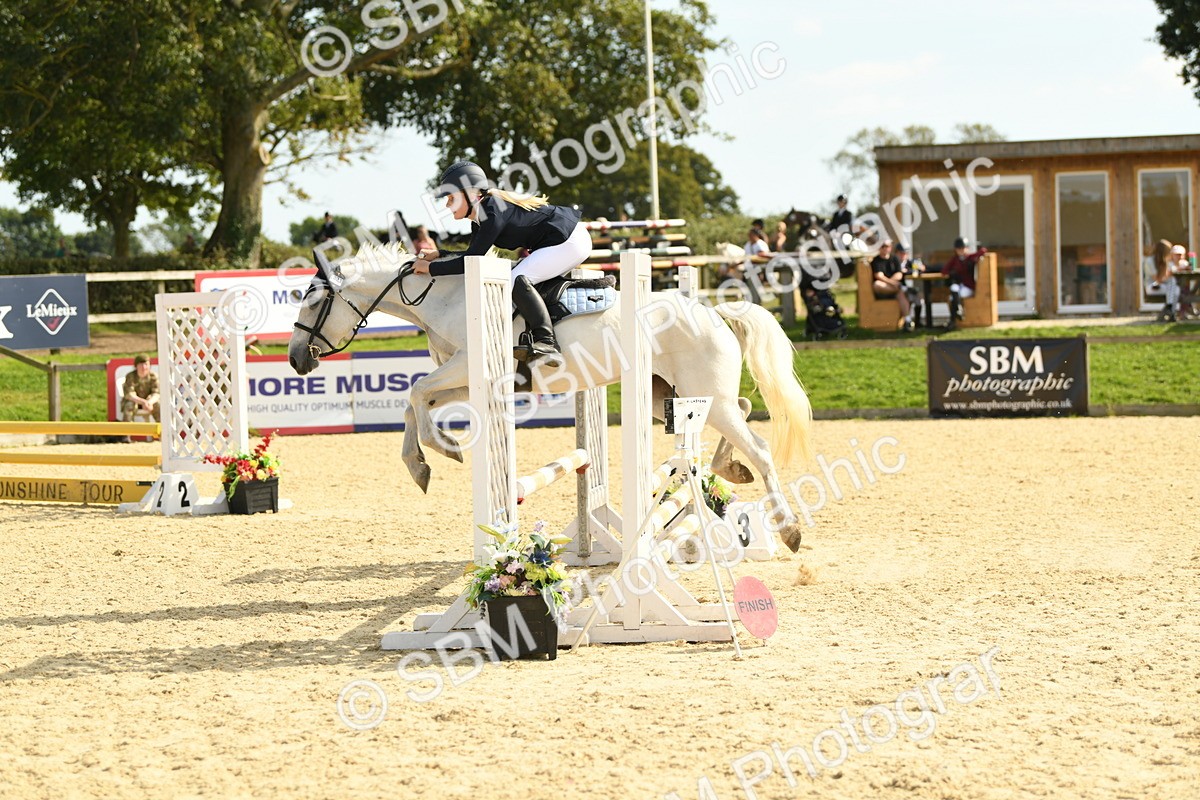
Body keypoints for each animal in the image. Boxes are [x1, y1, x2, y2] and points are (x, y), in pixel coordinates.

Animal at [287, 241, 815, 552]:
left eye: (312, 300)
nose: (296, 360)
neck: (448, 298)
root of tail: (713, 311)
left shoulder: (471, 369)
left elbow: (416, 392)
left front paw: (440, 452)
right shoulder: (464, 379)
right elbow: (414, 404)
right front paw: (425, 462)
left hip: (705, 396)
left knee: (760, 448)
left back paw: (788, 528)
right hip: (676, 395)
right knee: (740, 416)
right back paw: (730, 470)